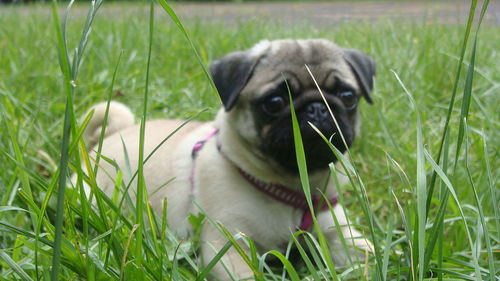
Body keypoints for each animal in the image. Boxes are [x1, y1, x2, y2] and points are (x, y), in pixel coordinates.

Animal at [80, 38, 376, 278]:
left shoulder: (339, 234)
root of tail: (114, 133)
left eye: (348, 97)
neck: (292, 187)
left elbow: (367, 254)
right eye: (274, 102)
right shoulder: (228, 248)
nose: (316, 108)